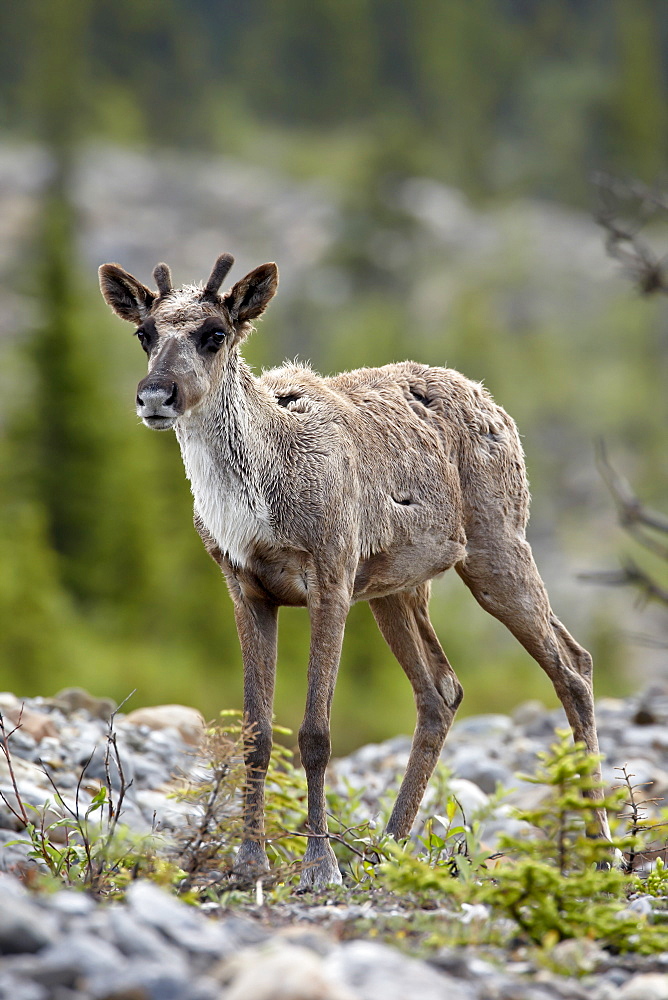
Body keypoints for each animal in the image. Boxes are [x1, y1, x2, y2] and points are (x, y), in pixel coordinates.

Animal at [100, 254, 612, 888]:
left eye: (215, 334)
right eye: (144, 334)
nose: (155, 395)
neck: (257, 493)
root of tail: (494, 405)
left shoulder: (332, 580)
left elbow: (315, 734)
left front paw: (319, 867)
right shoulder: (247, 591)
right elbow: (256, 735)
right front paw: (249, 862)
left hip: (497, 549)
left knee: (574, 667)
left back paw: (602, 848)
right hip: (399, 589)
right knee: (442, 693)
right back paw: (389, 847)